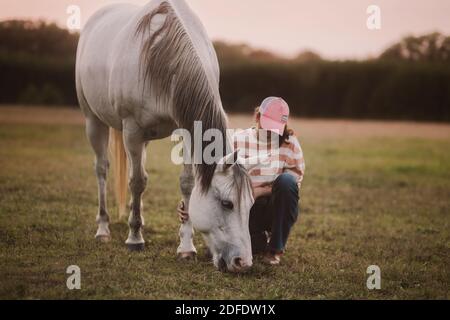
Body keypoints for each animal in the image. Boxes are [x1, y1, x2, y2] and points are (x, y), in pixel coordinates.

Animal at [75, 0, 258, 272]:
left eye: (251, 205)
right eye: (227, 203)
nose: (242, 262)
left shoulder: (185, 129)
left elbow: (186, 183)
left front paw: (186, 248)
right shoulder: (132, 129)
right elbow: (137, 182)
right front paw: (135, 238)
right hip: (94, 121)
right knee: (102, 169)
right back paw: (104, 229)